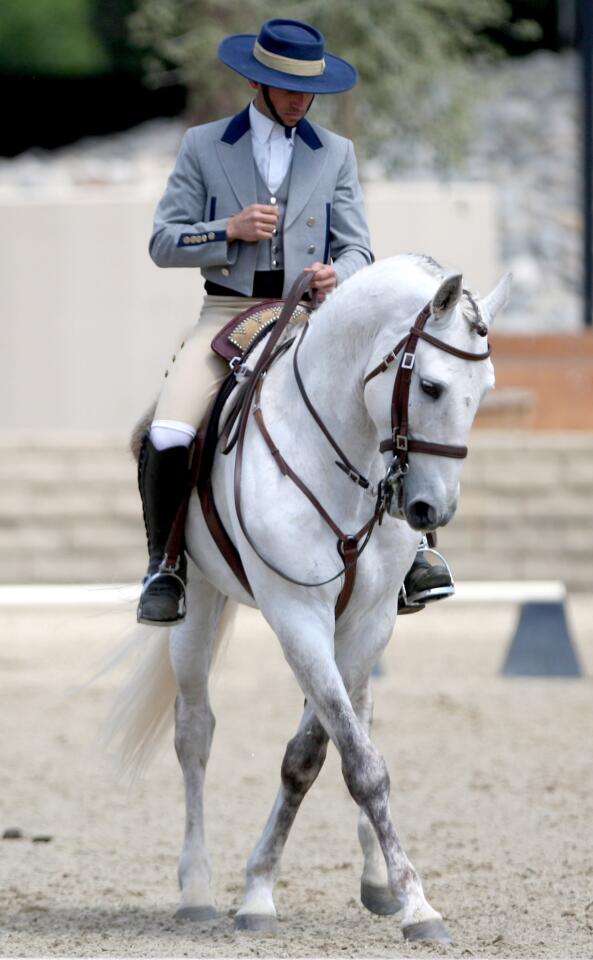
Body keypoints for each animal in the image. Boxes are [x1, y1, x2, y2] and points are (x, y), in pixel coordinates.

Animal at [111, 255, 508, 944]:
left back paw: (373, 882)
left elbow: (320, 750)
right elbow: (357, 762)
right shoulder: (298, 616)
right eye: (431, 387)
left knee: (358, 713)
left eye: (482, 390)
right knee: (195, 733)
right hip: (200, 603)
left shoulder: (368, 622)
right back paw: (196, 890)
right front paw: (413, 906)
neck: (344, 454)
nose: (432, 510)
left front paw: (388, 893)